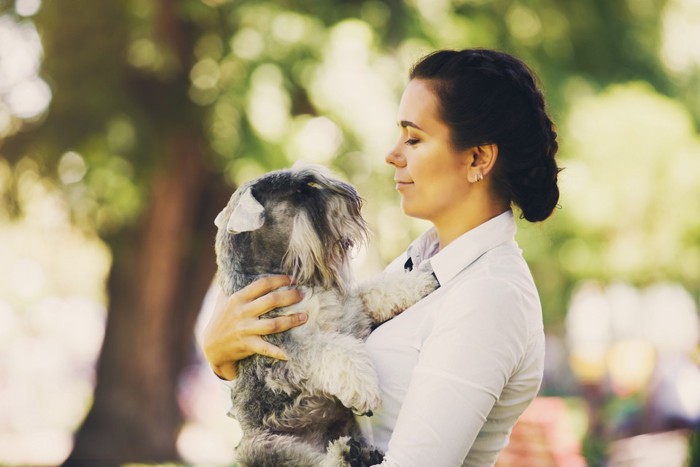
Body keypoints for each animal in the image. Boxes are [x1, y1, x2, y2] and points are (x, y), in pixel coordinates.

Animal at [215, 166, 438, 466]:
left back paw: (357, 453)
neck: (287, 273)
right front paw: (363, 387)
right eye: (300, 190)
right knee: (312, 461)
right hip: (262, 446)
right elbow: (332, 349)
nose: (354, 198)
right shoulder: (281, 352)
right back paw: (345, 454)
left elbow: (374, 290)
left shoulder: (351, 312)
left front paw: (420, 282)